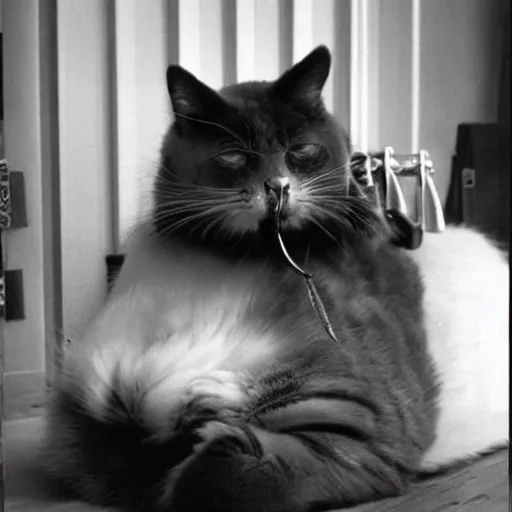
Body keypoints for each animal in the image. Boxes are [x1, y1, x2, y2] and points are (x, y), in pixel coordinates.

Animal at [41, 45, 508, 512]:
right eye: (233, 156)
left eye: (301, 150)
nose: (278, 186)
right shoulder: (86, 425)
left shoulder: (362, 429)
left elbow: (217, 478)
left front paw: (209, 416)